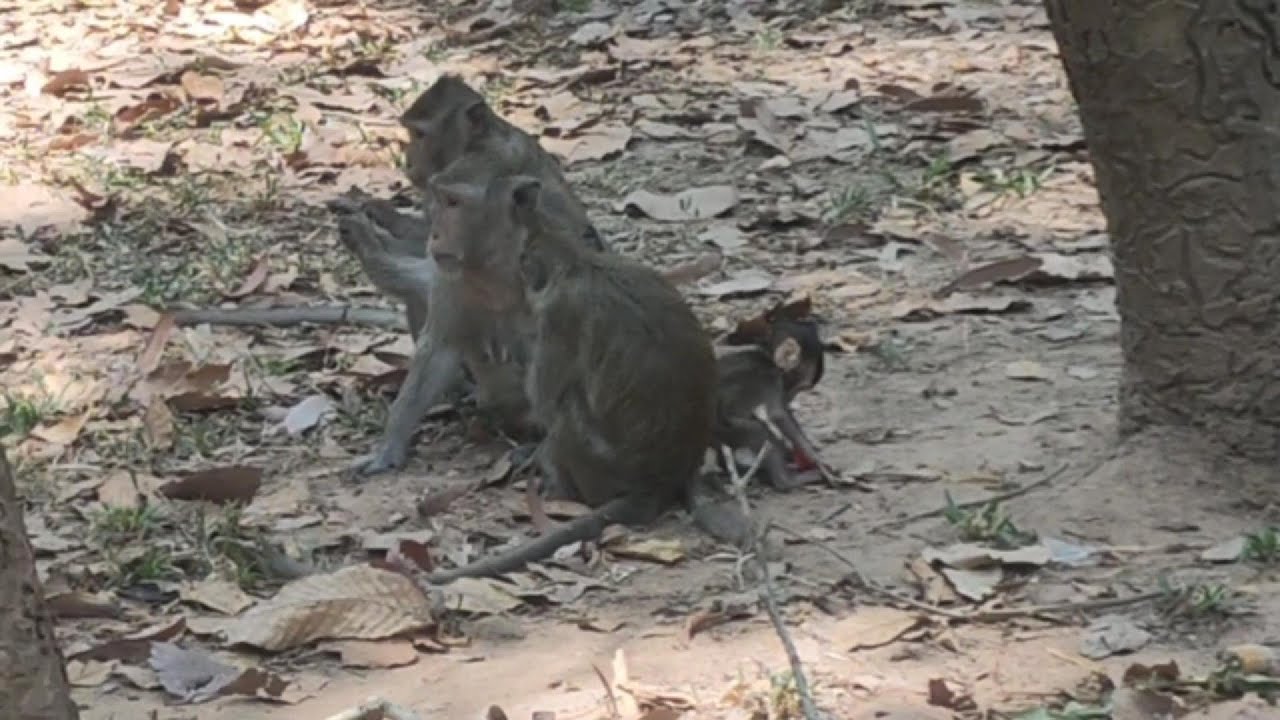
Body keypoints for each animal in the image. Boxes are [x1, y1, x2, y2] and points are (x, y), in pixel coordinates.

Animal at [419, 172, 753, 584]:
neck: (576, 264)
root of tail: (661, 481)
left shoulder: (557, 319)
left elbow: (546, 402)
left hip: (595, 463)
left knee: (565, 410)